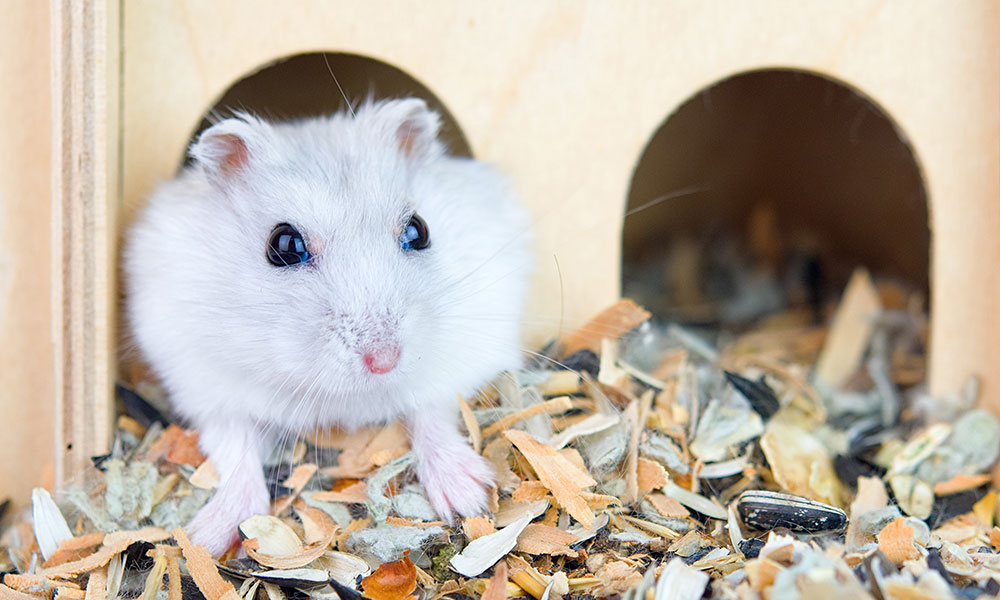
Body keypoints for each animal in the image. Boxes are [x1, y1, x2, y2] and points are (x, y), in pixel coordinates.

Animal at [124, 98, 533, 555]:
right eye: (284, 245)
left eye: (418, 230)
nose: (385, 361)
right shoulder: (206, 385)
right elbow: (235, 448)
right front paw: (205, 540)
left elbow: (433, 411)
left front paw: (469, 499)